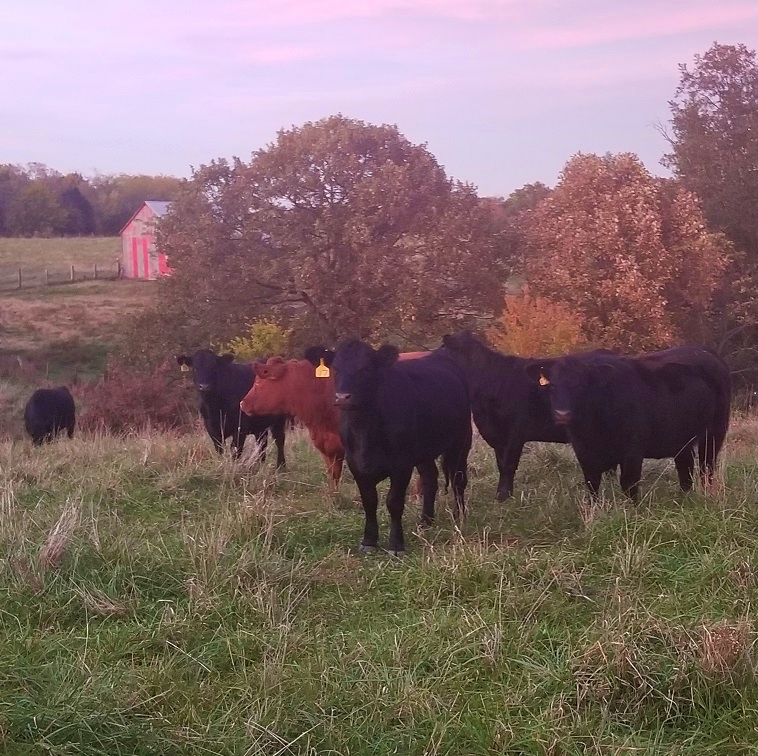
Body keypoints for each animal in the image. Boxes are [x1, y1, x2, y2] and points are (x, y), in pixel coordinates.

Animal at [320, 342, 476, 556]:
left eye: (366, 368)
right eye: (335, 369)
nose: (342, 397)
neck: (365, 432)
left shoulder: (401, 466)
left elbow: (394, 503)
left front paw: (396, 545)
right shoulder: (355, 464)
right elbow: (369, 501)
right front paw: (369, 541)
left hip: (460, 441)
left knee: (458, 479)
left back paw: (458, 517)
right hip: (423, 451)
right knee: (430, 478)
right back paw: (425, 521)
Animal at [532, 346, 732, 500]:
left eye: (581, 385)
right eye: (553, 385)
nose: (562, 414)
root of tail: (706, 352)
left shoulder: (632, 451)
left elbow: (629, 483)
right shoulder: (584, 452)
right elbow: (592, 484)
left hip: (714, 433)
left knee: (706, 467)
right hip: (682, 438)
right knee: (685, 468)